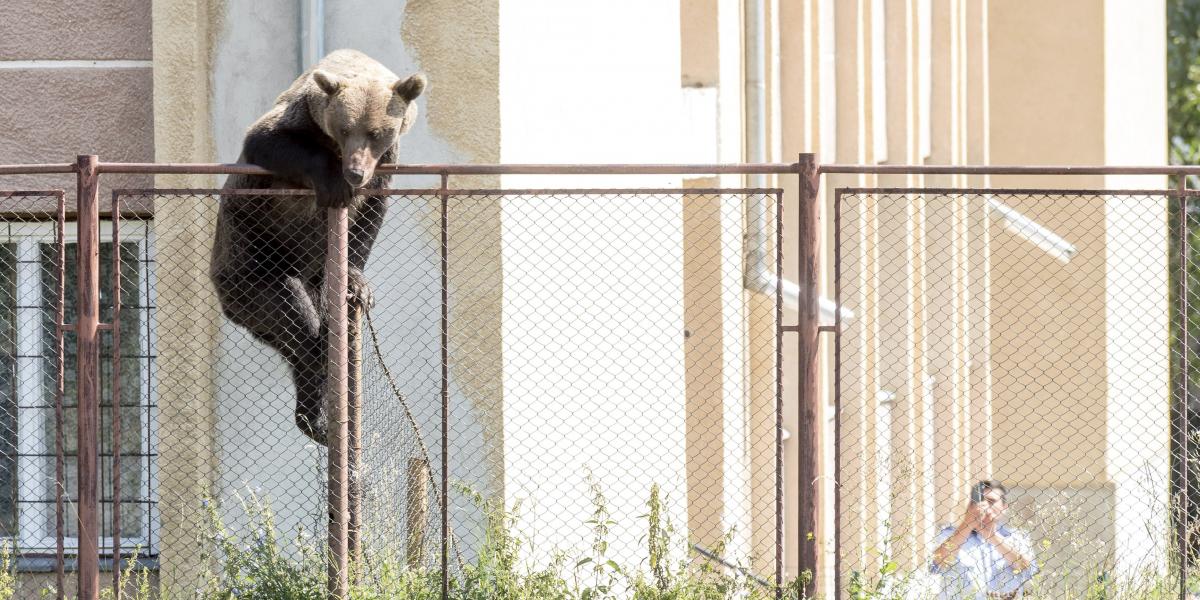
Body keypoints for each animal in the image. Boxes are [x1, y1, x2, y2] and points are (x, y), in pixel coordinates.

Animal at [211, 50, 427, 446]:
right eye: (344, 128)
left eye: (376, 132)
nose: (355, 172)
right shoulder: (294, 122)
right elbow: (266, 139)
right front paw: (335, 183)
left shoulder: (387, 162)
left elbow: (369, 216)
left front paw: (358, 281)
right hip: (250, 256)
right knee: (295, 321)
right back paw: (317, 416)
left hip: (305, 281)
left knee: (310, 338)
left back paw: (322, 417)